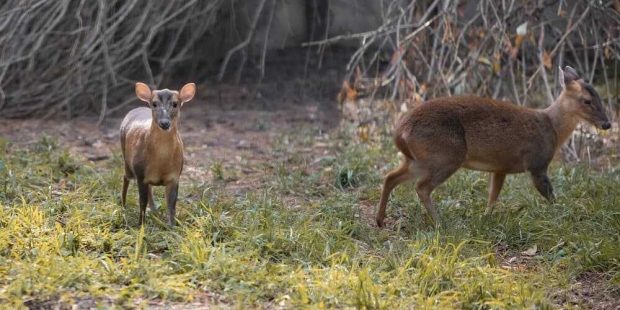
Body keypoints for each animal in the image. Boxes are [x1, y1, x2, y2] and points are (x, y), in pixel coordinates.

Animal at [121, 81, 196, 228]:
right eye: (154, 103)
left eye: (175, 103)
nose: (164, 123)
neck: (162, 161)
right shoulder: (140, 172)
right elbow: (142, 202)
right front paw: (141, 225)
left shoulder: (175, 176)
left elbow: (171, 205)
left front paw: (172, 226)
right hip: (127, 160)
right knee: (126, 177)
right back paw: (123, 205)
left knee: (149, 189)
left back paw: (154, 211)